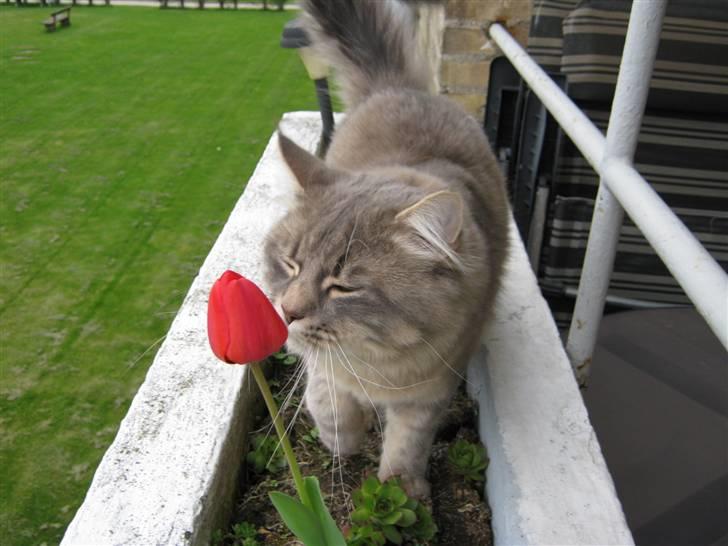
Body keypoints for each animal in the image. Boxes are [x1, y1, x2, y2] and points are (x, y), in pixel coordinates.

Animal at [264, 0, 510, 496]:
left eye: (343, 287)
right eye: (290, 265)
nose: (288, 312)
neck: (378, 363)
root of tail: (397, 86)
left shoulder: (432, 389)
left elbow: (407, 443)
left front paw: (403, 490)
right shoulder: (322, 365)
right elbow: (327, 397)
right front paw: (342, 439)